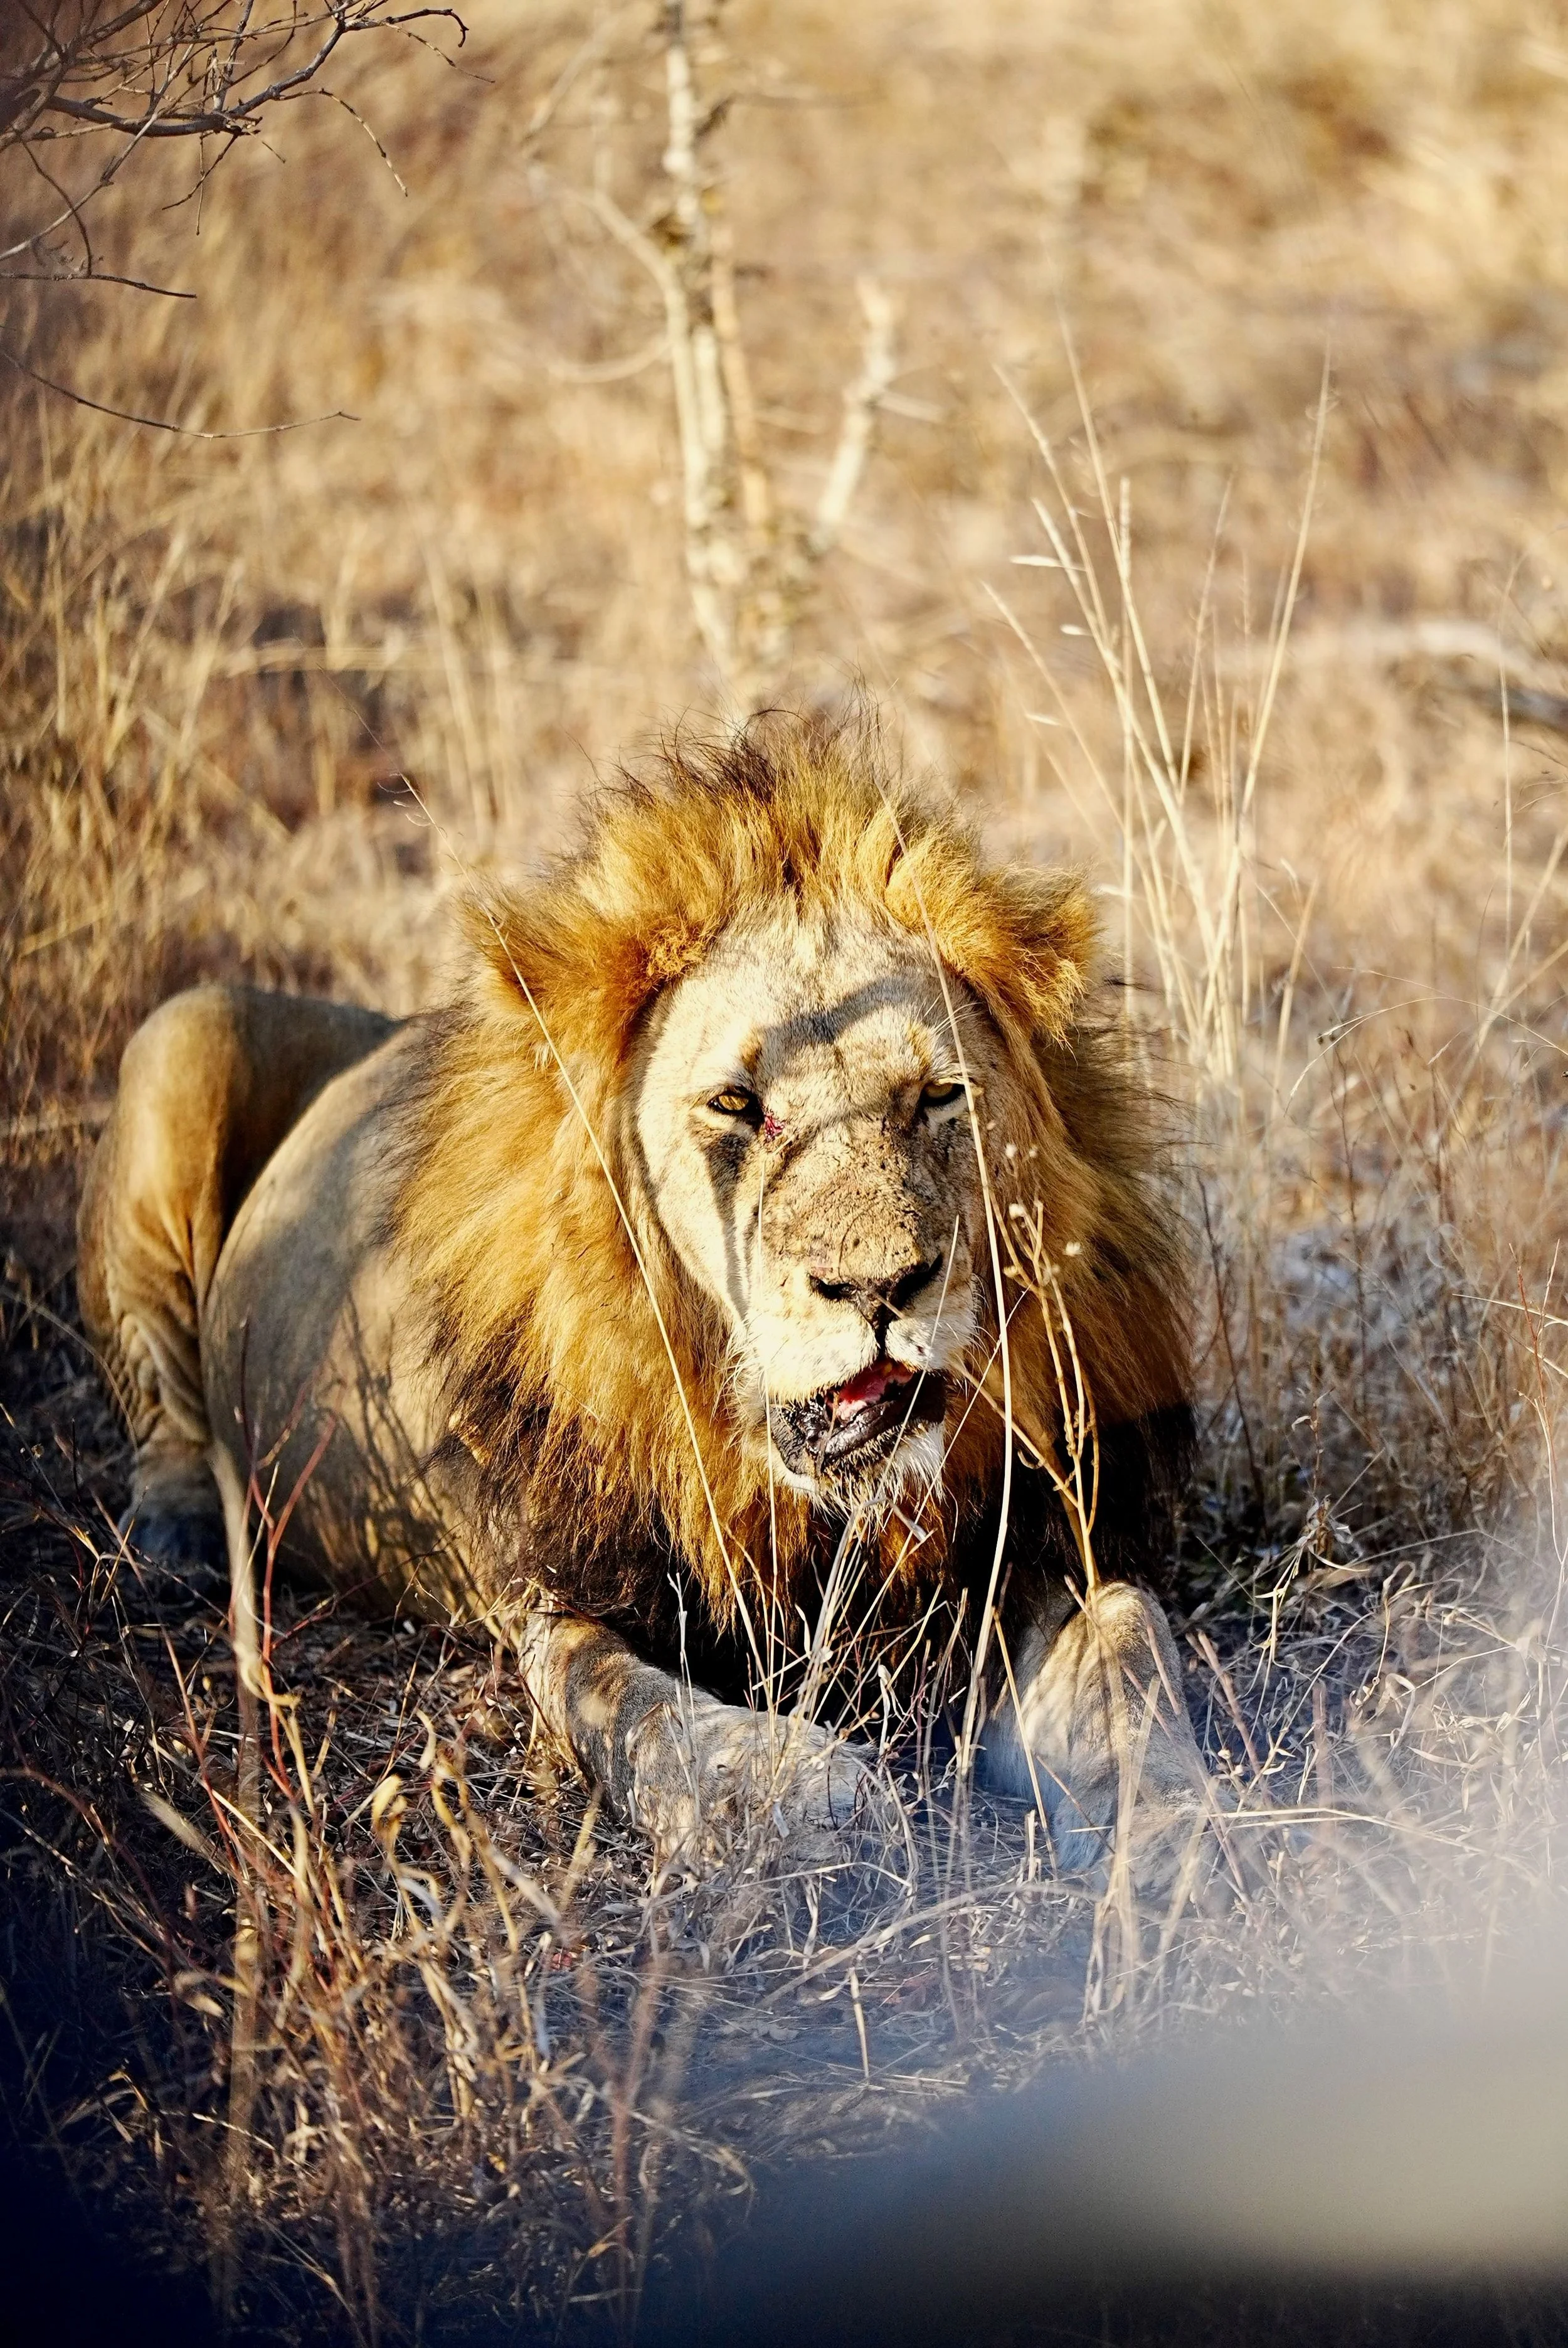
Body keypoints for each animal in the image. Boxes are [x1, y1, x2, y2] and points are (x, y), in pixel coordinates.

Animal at [77, 709, 1210, 1878]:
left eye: (940, 1095)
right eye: (736, 1104)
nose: (880, 1285)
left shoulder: (1029, 1545)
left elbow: (1129, 1648)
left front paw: (1178, 1836)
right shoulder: (561, 1592)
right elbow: (637, 1707)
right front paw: (790, 1793)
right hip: (184, 1032)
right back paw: (178, 1532)